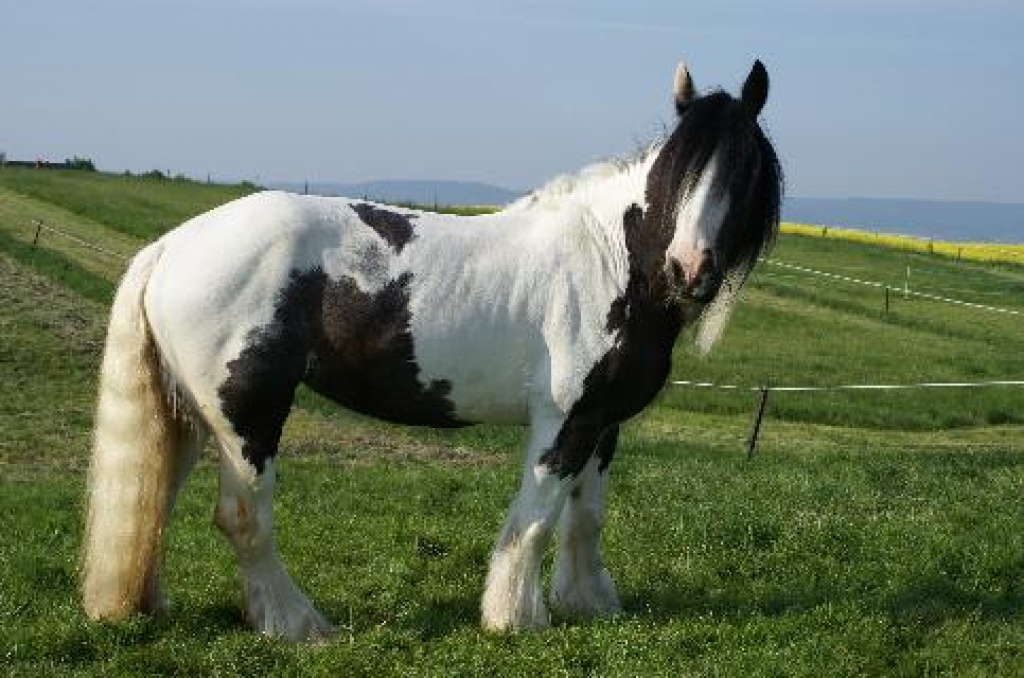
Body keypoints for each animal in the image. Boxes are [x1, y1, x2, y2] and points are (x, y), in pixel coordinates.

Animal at [81, 60, 782, 641]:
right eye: (678, 170)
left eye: (742, 168)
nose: (690, 268)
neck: (611, 259)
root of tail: (170, 245)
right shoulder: (562, 422)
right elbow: (536, 517)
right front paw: (514, 619)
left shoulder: (601, 424)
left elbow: (585, 517)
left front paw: (590, 604)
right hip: (247, 417)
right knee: (242, 517)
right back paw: (297, 624)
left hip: (189, 415)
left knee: (154, 500)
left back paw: (154, 607)